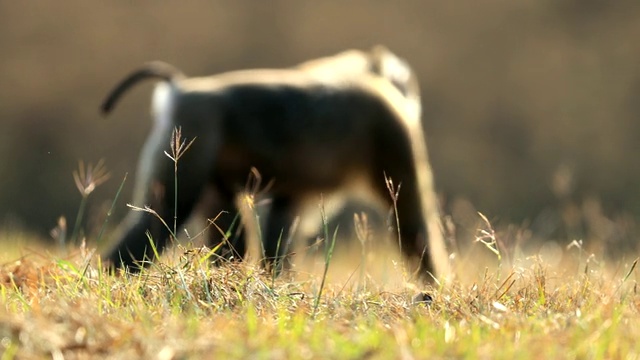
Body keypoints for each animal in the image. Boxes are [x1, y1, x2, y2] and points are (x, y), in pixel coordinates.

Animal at [101, 46, 450, 280]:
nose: (411, 95)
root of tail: (181, 89)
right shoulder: (392, 127)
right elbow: (411, 222)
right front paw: (436, 284)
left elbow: (281, 223)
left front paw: (276, 281)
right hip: (194, 129)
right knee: (166, 211)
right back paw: (115, 271)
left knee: (224, 223)